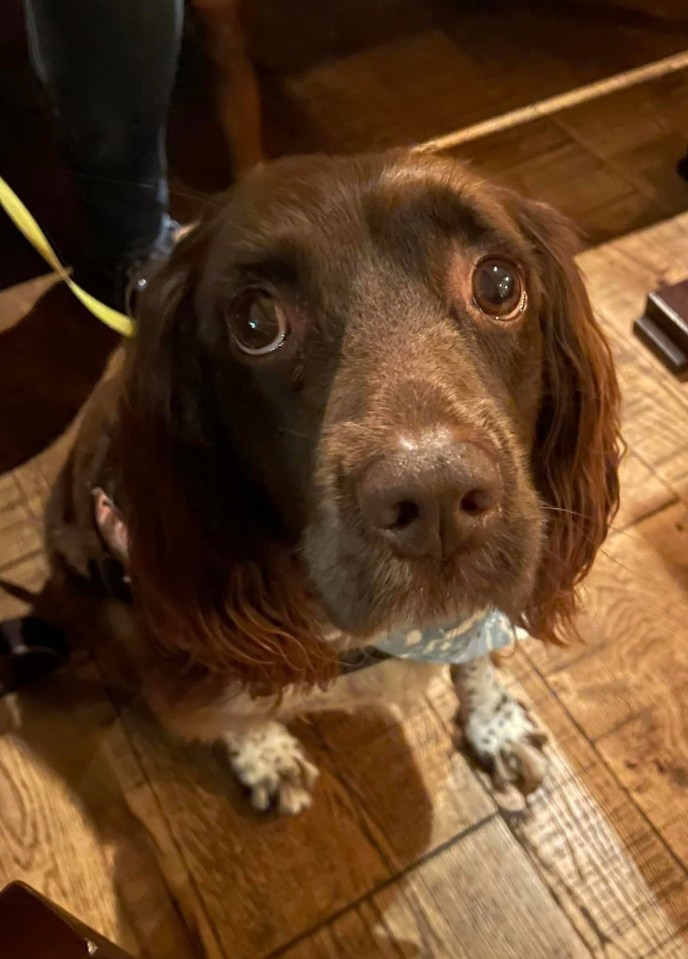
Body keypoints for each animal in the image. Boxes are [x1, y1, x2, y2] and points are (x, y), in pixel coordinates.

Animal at [45, 150, 620, 808]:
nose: (437, 496)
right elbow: (229, 716)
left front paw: (494, 723)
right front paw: (265, 756)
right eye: (255, 321)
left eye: (498, 285)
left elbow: (474, 655)